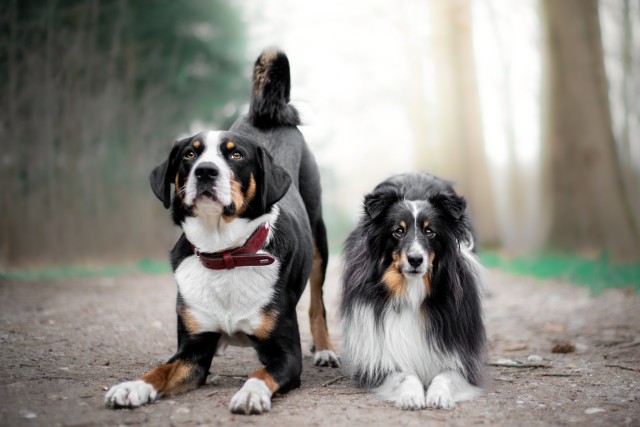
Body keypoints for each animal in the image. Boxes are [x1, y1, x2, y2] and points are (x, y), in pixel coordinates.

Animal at [104, 49, 340, 414]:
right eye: (190, 153)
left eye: (237, 155)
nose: (205, 171)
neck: (226, 254)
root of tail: (265, 116)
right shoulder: (192, 350)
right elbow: (161, 370)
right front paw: (133, 386)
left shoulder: (286, 354)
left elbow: (261, 373)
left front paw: (250, 393)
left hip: (318, 239)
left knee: (317, 300)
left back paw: (325, 347)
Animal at [340, 173, 484, 412]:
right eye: (398, 231)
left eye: (429, 231)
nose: (416, 260)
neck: (412, 290)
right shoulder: (380, 360)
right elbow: (405, 375)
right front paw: (411, 396)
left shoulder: (460, 359)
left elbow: (446, 375)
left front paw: (439, 395)